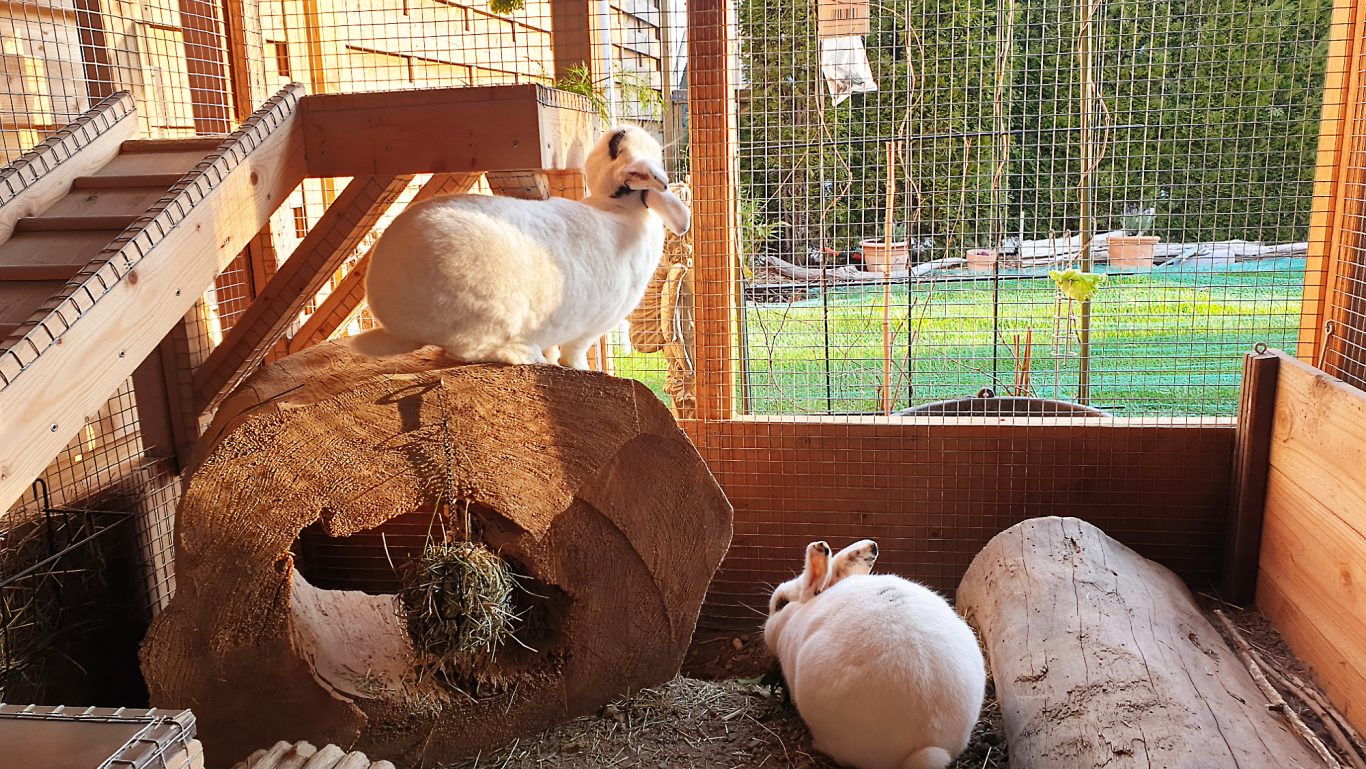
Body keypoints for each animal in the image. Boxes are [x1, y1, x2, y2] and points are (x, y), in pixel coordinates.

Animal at [348, 124, 690, 369]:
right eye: (616, 145)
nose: (617, 130)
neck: (618, 208)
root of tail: (390, 315)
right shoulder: (591, 328)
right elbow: (575, 352)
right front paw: (582, 368)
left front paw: (557, 359)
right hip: (485, 317)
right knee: (471, 351)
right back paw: (526, 355)